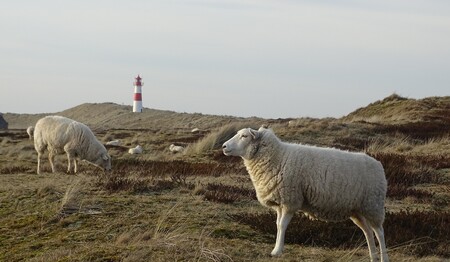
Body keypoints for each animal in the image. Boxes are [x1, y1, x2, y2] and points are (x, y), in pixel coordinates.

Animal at [223, 127, 388, 262]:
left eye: (244, 136)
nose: (224, 146)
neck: (277, 157)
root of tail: (378, 164)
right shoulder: (281, 202)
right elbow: (277, 225)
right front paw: (277, 248)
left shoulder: (290, 200)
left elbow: (282, 225)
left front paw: (277, 251)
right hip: (357, 209)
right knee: (368, 231)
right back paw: (373, 257)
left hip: (373, 205)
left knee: (379, 232)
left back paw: (383, 257)